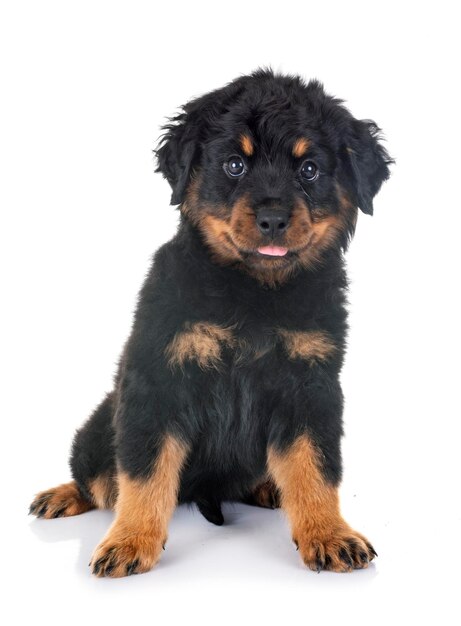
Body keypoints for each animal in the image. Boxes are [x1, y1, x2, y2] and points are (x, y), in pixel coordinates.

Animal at [28, 69, 390, 576]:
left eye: (309, 169)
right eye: (234, 165)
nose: (273, 219)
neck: (254, 292)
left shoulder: (311, 386)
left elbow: (315, 466)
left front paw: (329, 533)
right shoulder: (158, 380)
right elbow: (144, 472)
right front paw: (130, 540)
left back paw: (269, 489)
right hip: (97, 430)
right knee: (97, 482)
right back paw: (62, 496)